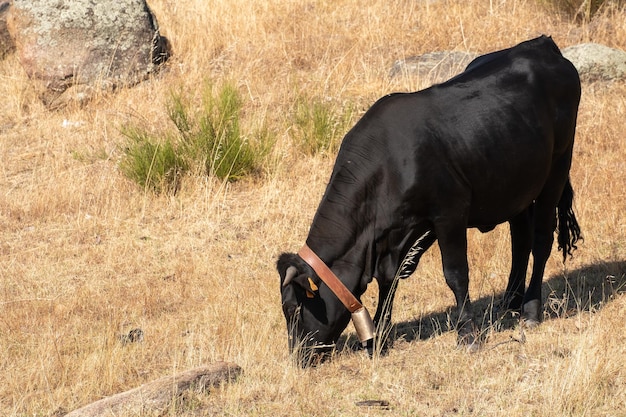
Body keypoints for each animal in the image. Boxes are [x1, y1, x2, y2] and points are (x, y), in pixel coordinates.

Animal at [278, 35, 580, 364]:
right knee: (520, 241)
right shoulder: (395, 236)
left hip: (556, 169)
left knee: (541, 240)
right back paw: (510, 300)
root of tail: (540, 44)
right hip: (516, 187)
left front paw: (468, 335)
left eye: (293, 308)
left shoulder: (449, 215)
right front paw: (379, 337)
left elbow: (455, 274)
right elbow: (389, 280)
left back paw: (530, 310)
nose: (298, 357)